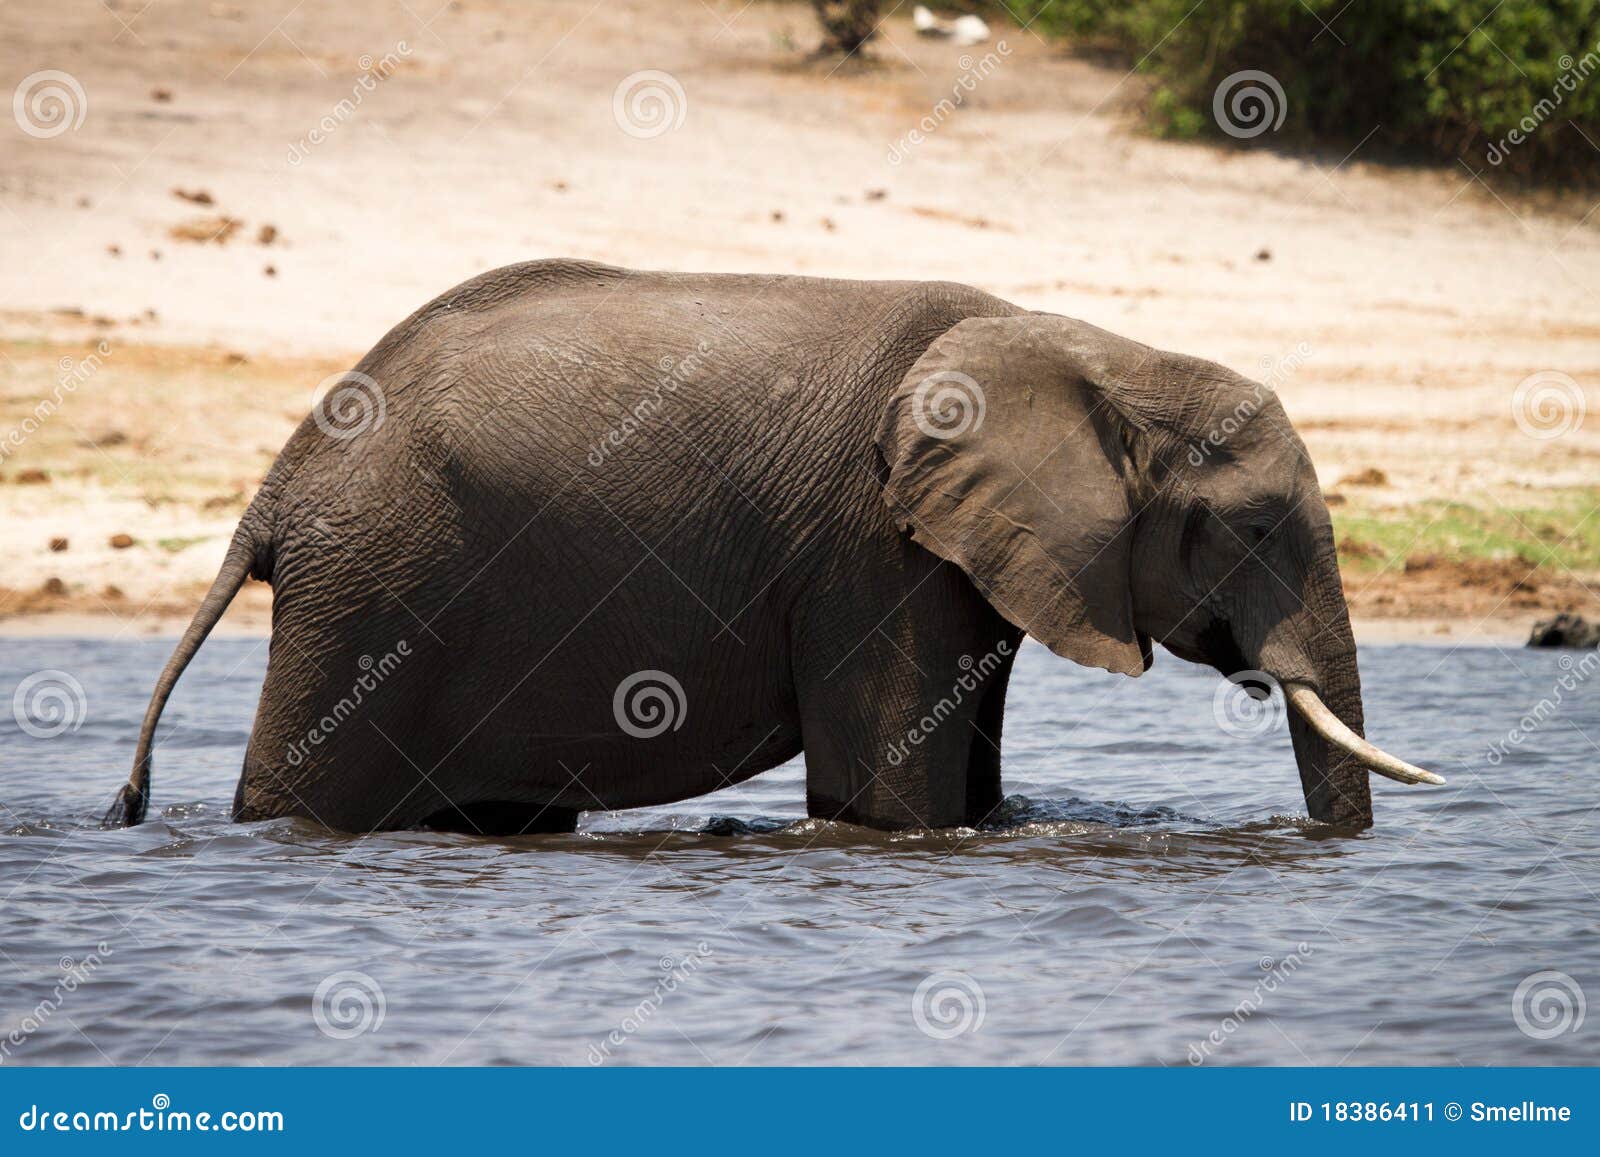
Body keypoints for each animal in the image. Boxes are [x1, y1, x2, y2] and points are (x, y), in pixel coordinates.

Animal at [102, 259, 1442, 835]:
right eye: (1252, 527)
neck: (1097, 348)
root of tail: (278, 486)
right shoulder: (870, 548)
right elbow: (892, 796)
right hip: (376, 590)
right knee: (303, 788)